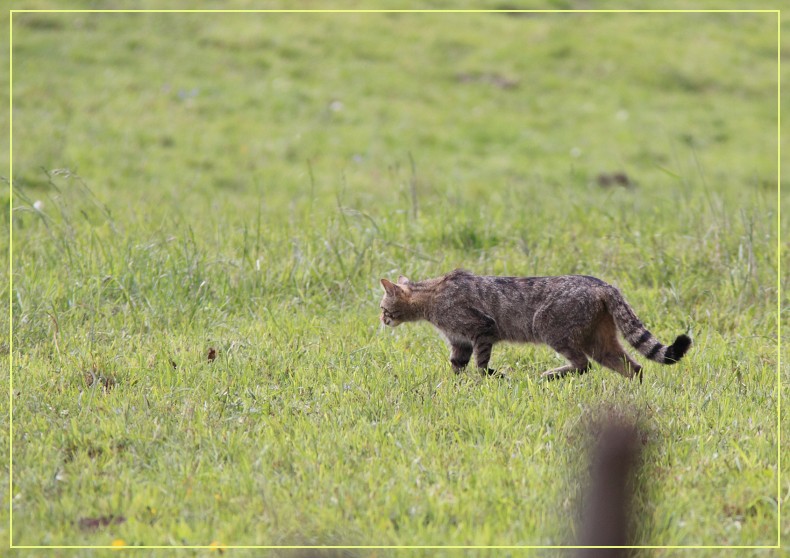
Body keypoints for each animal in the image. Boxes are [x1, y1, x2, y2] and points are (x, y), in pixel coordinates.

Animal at [380, 270, 688, 382]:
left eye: (383, 308)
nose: (382, 320)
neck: (430, 296)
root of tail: (603, 284)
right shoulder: (461, 343)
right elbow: (457, 367)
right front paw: (454, 387)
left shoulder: (483, 329)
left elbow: (480, 364)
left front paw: (491, 377)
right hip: (600, 341)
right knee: (634, 367)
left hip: (550, 328)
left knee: (583, 364)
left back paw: (549, 376)